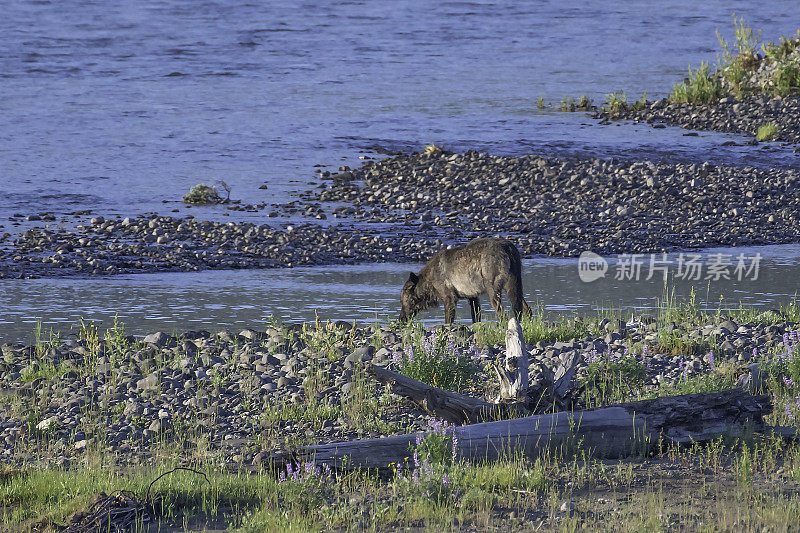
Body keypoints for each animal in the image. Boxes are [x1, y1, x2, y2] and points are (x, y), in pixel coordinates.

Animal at [398, 238, 532, 322]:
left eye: (403, 300)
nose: (400, 319)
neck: (428, 284)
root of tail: (509, 249)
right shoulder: (472, 295)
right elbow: (475, 316)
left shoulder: (449, 296)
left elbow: (448, 320)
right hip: (514, 282)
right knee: (525, 308)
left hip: (493, 286)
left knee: (501, 313)